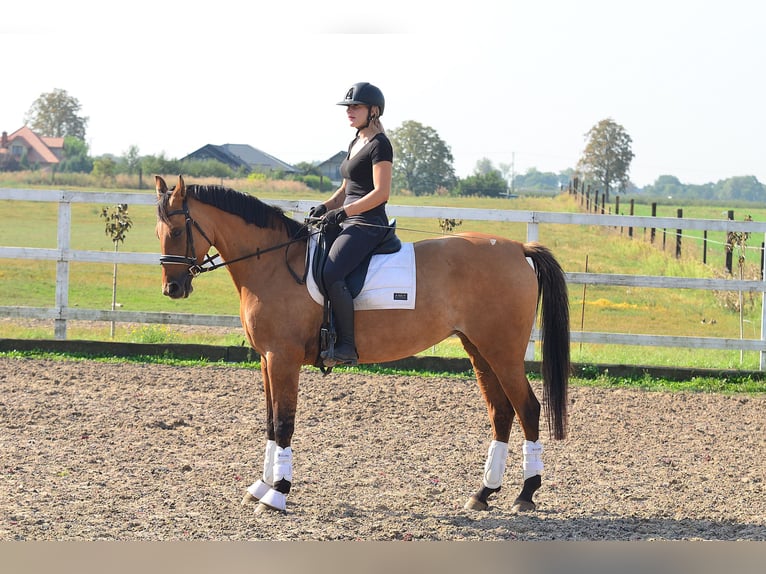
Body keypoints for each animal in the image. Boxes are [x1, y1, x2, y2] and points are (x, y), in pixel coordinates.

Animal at [154, 176, 568, 516]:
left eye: (175, 230)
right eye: (159, 230)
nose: (172, 289)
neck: (272, 263)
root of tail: (517, 248)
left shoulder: (283, 359)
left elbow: (284, 423)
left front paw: (278, 494)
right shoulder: (266, 360)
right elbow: (270, 423)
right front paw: (261, 487)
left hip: (503, 352)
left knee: (528, 409)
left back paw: (526, 494)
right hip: (479, 349)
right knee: (501, 412)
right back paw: (483, 493)